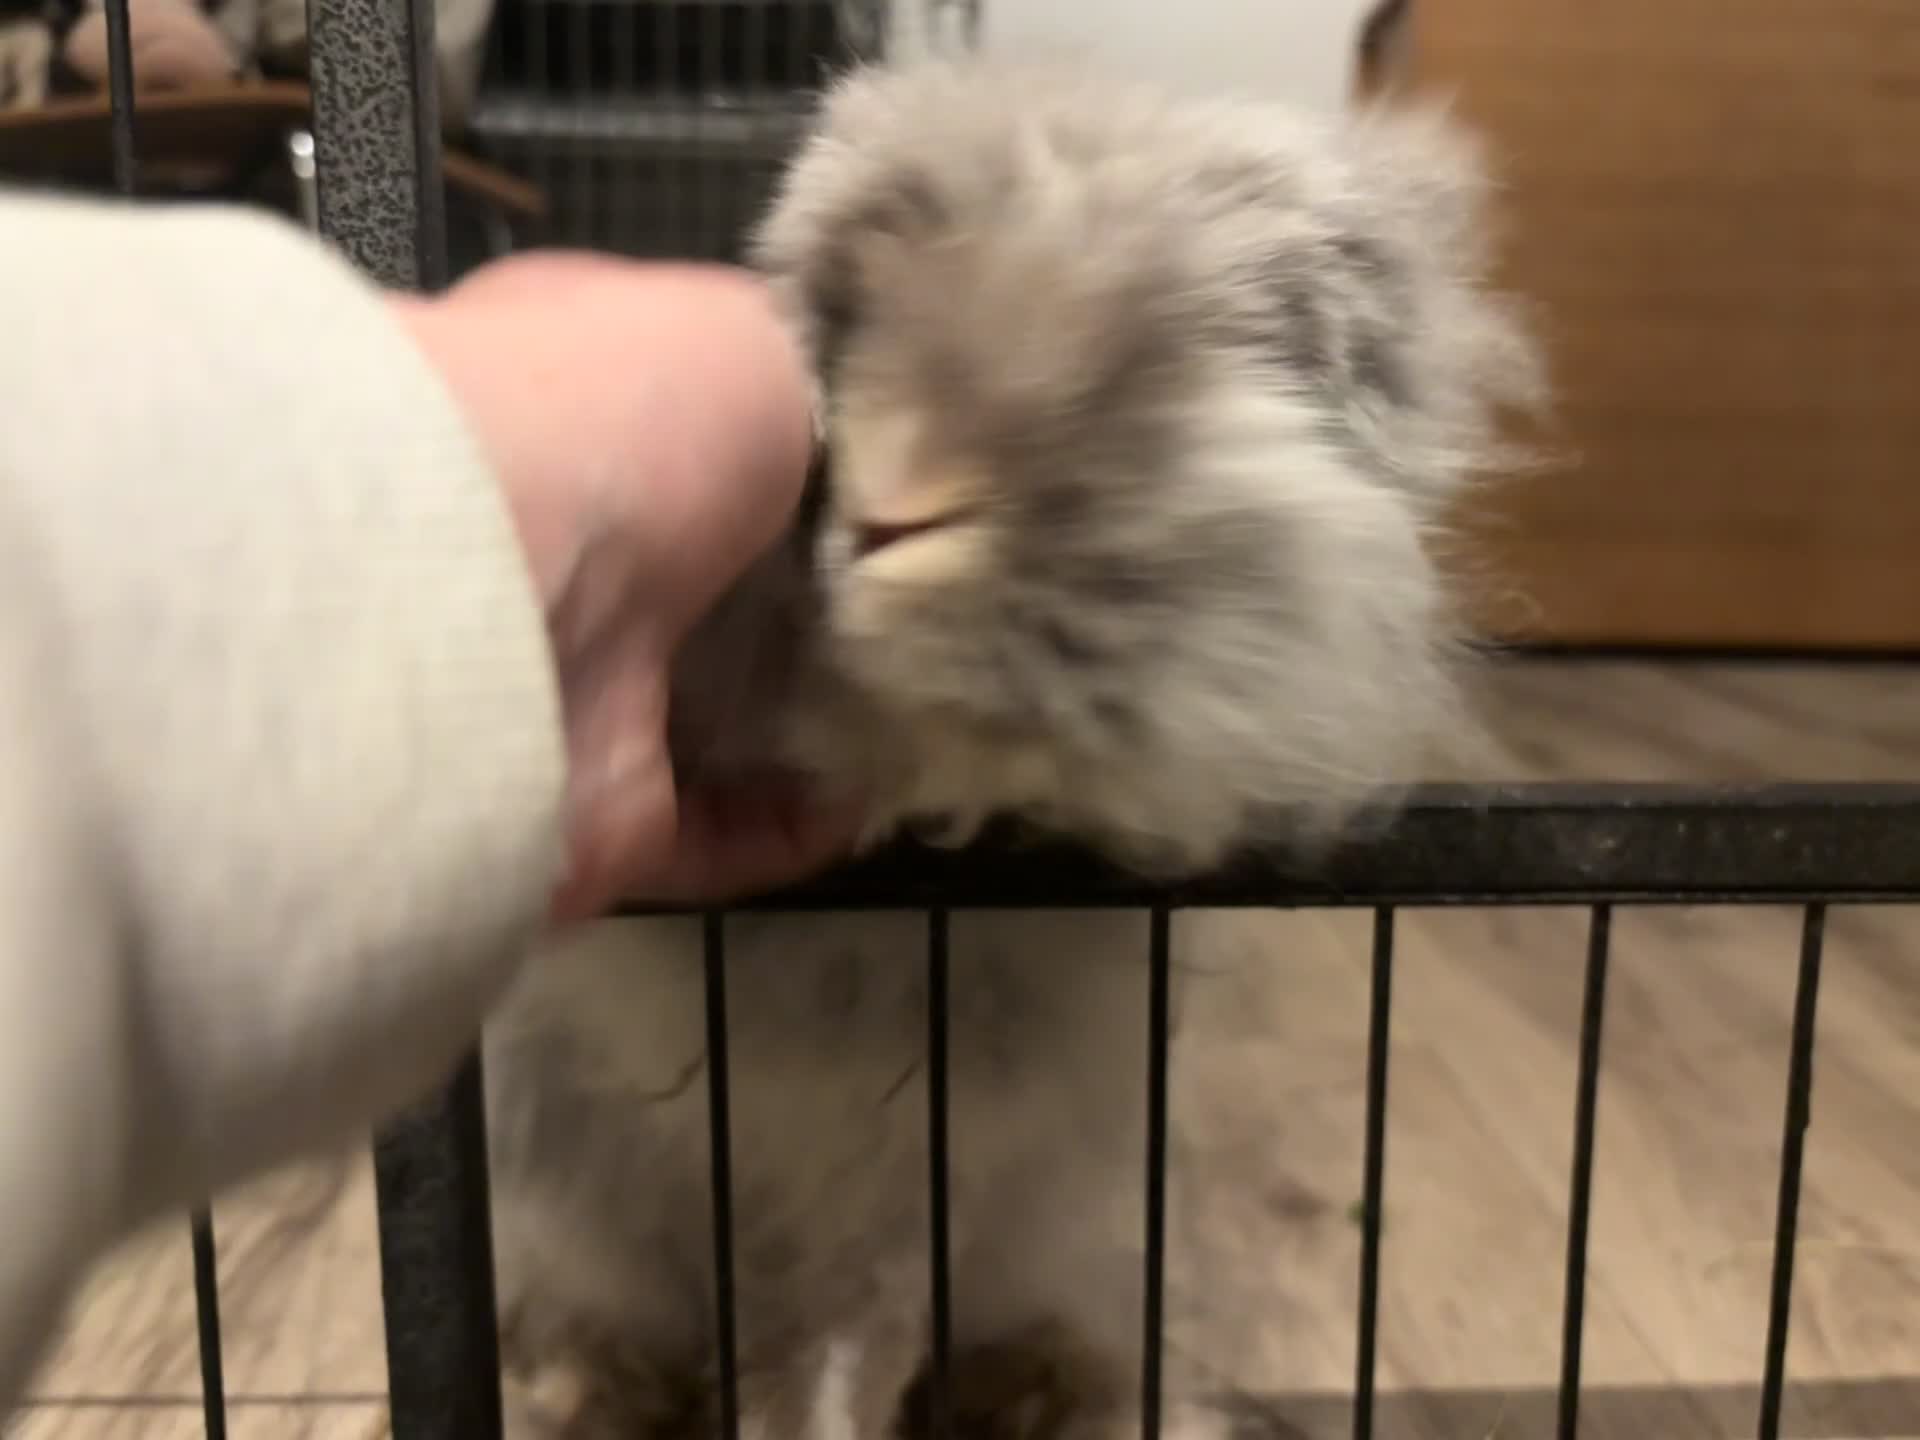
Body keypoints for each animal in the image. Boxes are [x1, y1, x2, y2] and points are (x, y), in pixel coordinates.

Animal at [481, 54, 1542, 1440]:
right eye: (850, 305)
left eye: (1177, 358)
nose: (894, 498)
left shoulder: (918, 1180)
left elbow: (842, 1344)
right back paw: (589, 1389)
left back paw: (1039, 1392)